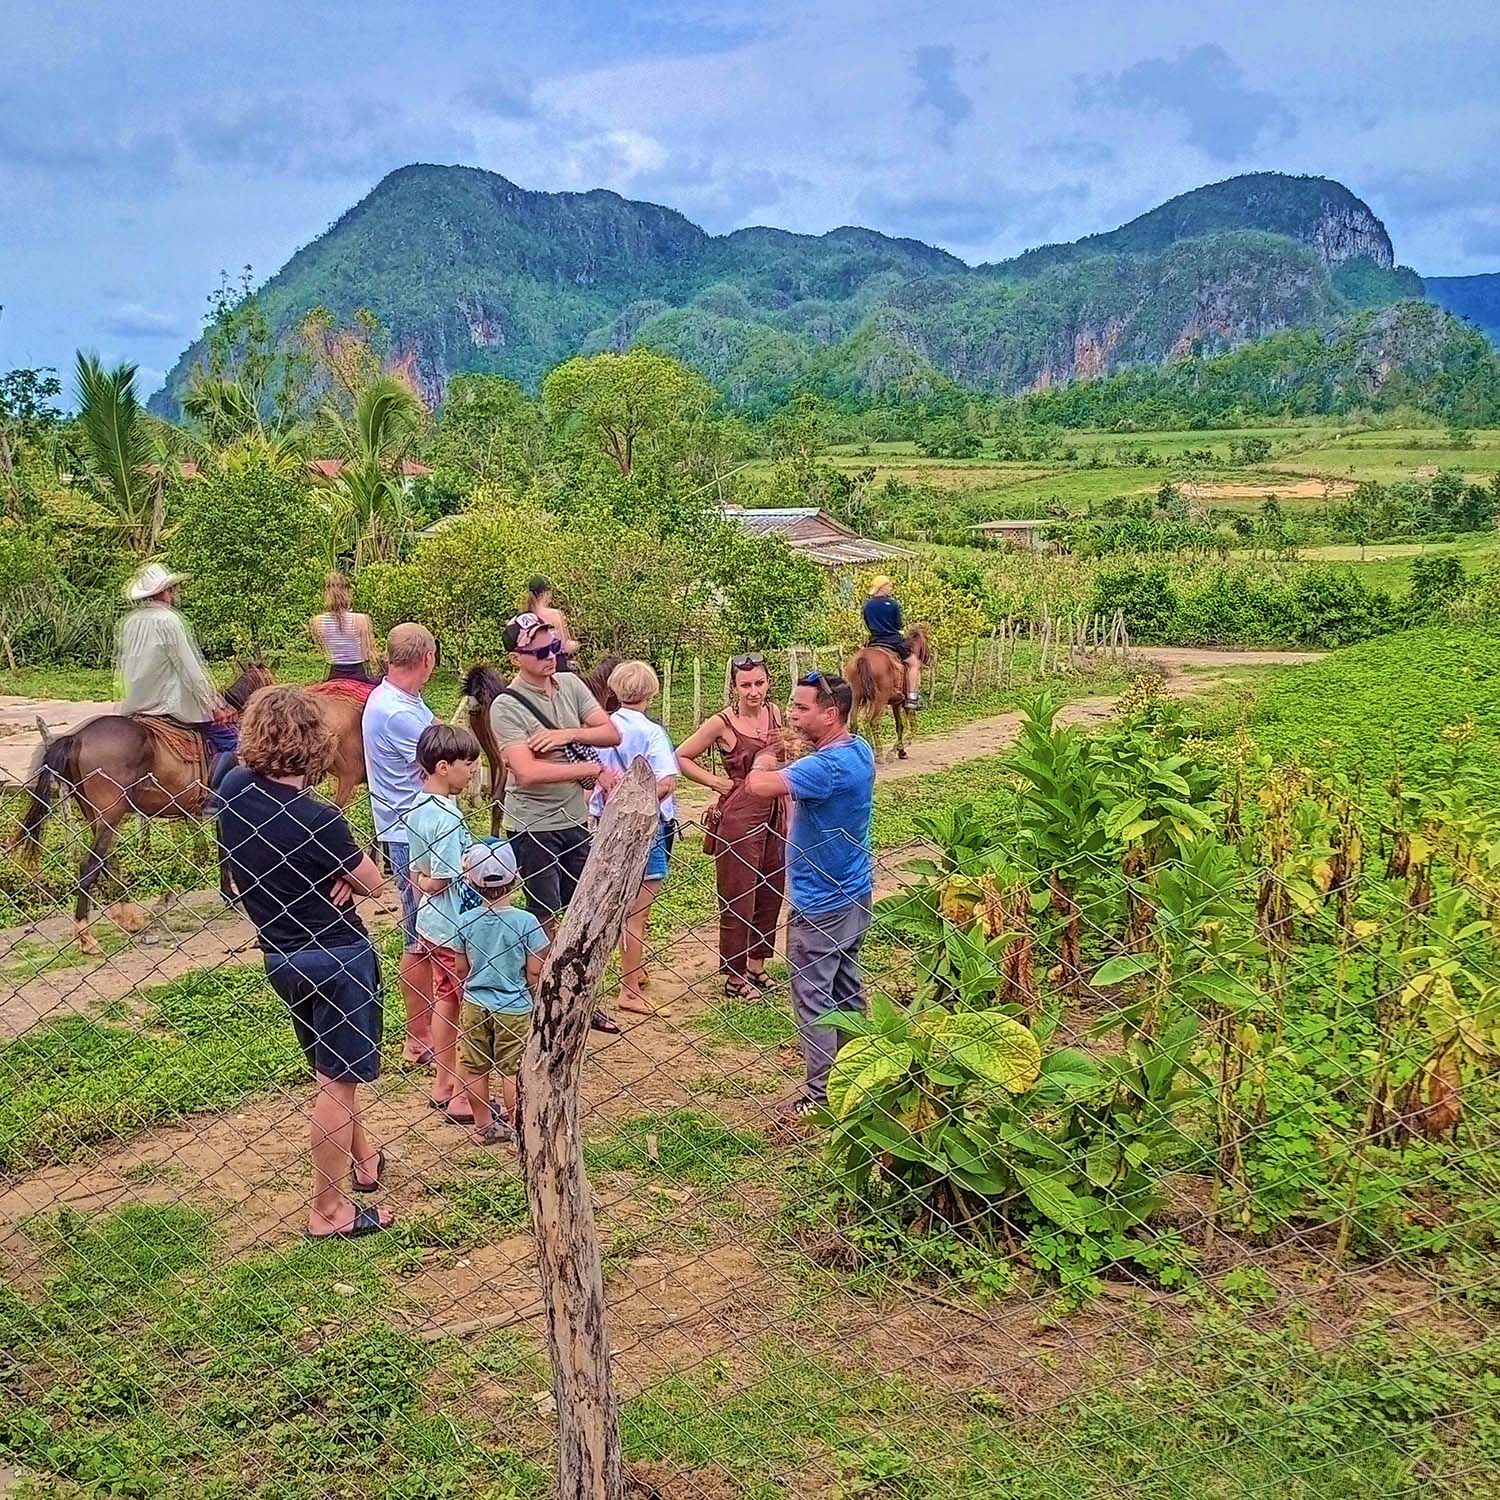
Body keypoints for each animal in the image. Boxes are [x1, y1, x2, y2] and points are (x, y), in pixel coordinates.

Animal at [852, 621, 930, 762]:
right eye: (927, 640)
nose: (929, 658)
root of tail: (862, 658)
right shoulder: (906, 704)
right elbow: (913, 726)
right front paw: (896, 750)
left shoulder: (896, 704)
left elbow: (899, 726)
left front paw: (901, 752)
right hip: (879, 701)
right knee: (871, 722)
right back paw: (877, 753)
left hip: (856, 698)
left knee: (854, 722)